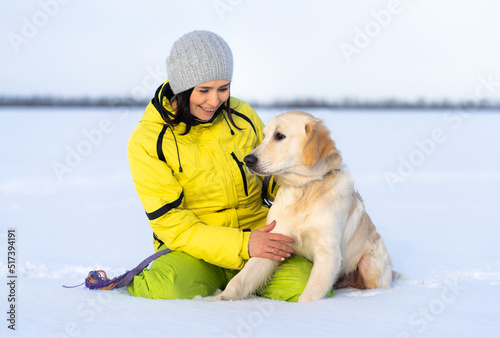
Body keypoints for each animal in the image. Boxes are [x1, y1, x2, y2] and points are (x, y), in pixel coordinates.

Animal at [216, 111, 394, 304]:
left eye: (279, 136)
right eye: (264, 136)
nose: (247, 160)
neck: (304, 189)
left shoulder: (328, 253)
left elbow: (310, 294)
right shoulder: (274, 242)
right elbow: (240, 280)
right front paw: (217, 299)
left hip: (369, 262)